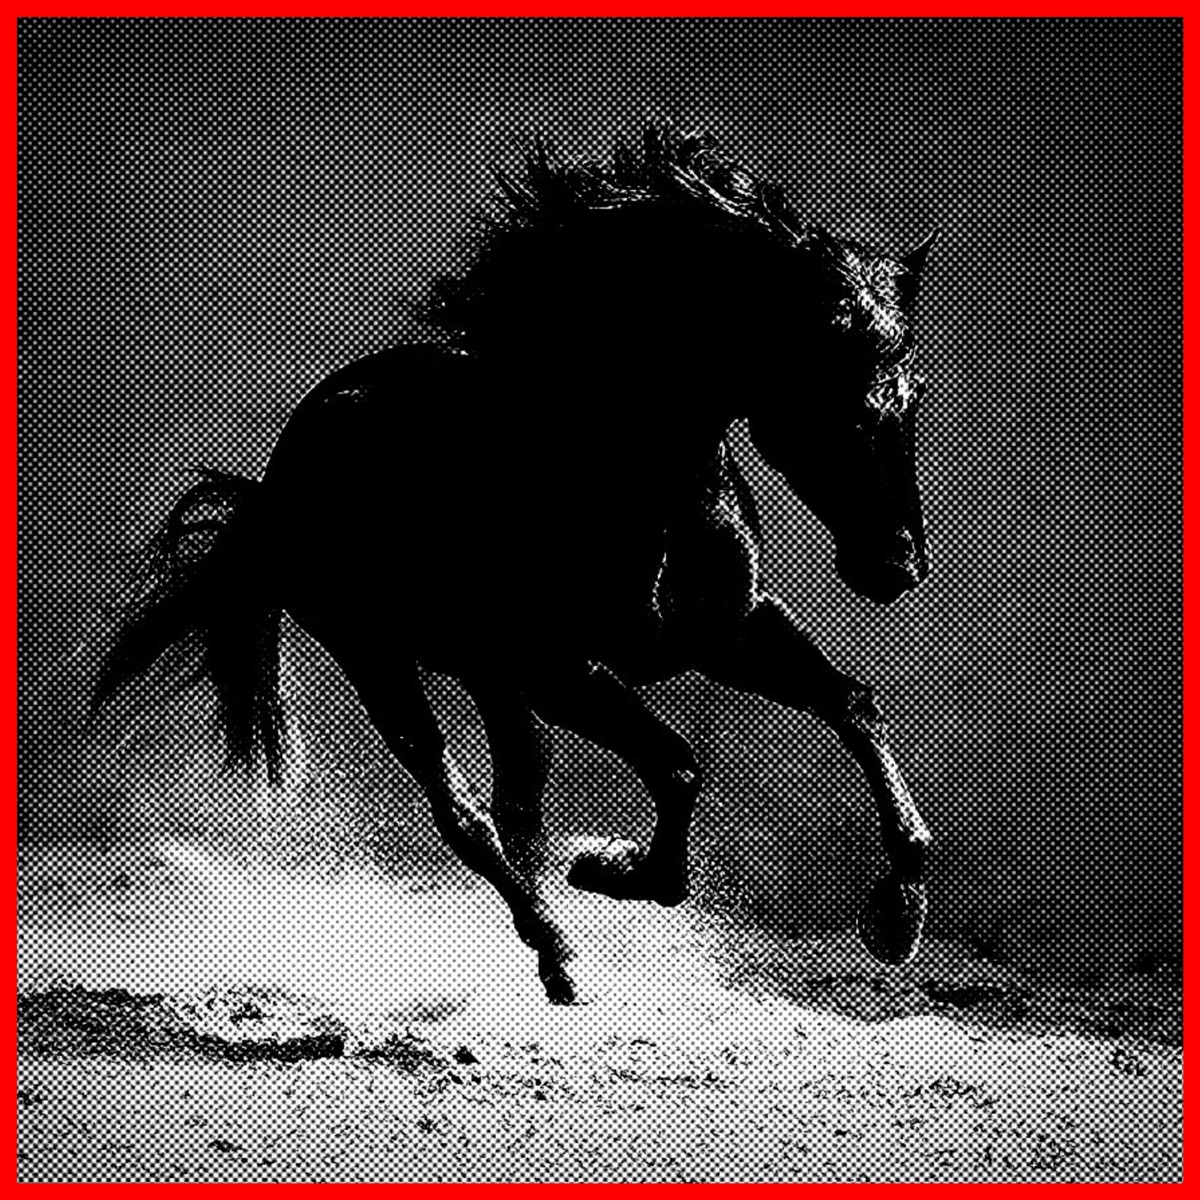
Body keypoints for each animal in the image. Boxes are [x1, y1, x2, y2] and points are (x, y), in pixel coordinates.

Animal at [93, 125, 938, 1005]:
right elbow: (679, 767)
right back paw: (560, 954)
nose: (896, 566)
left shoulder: (727, 634)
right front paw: (612, 869)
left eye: (911, 398)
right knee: (465, 811)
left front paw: (897, 916)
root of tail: (282, 475)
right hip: (380, 653)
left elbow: (851, 705)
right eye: (841, 404)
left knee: (515, 801)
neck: (625, 468)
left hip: (486, 674)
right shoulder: (561, 669)